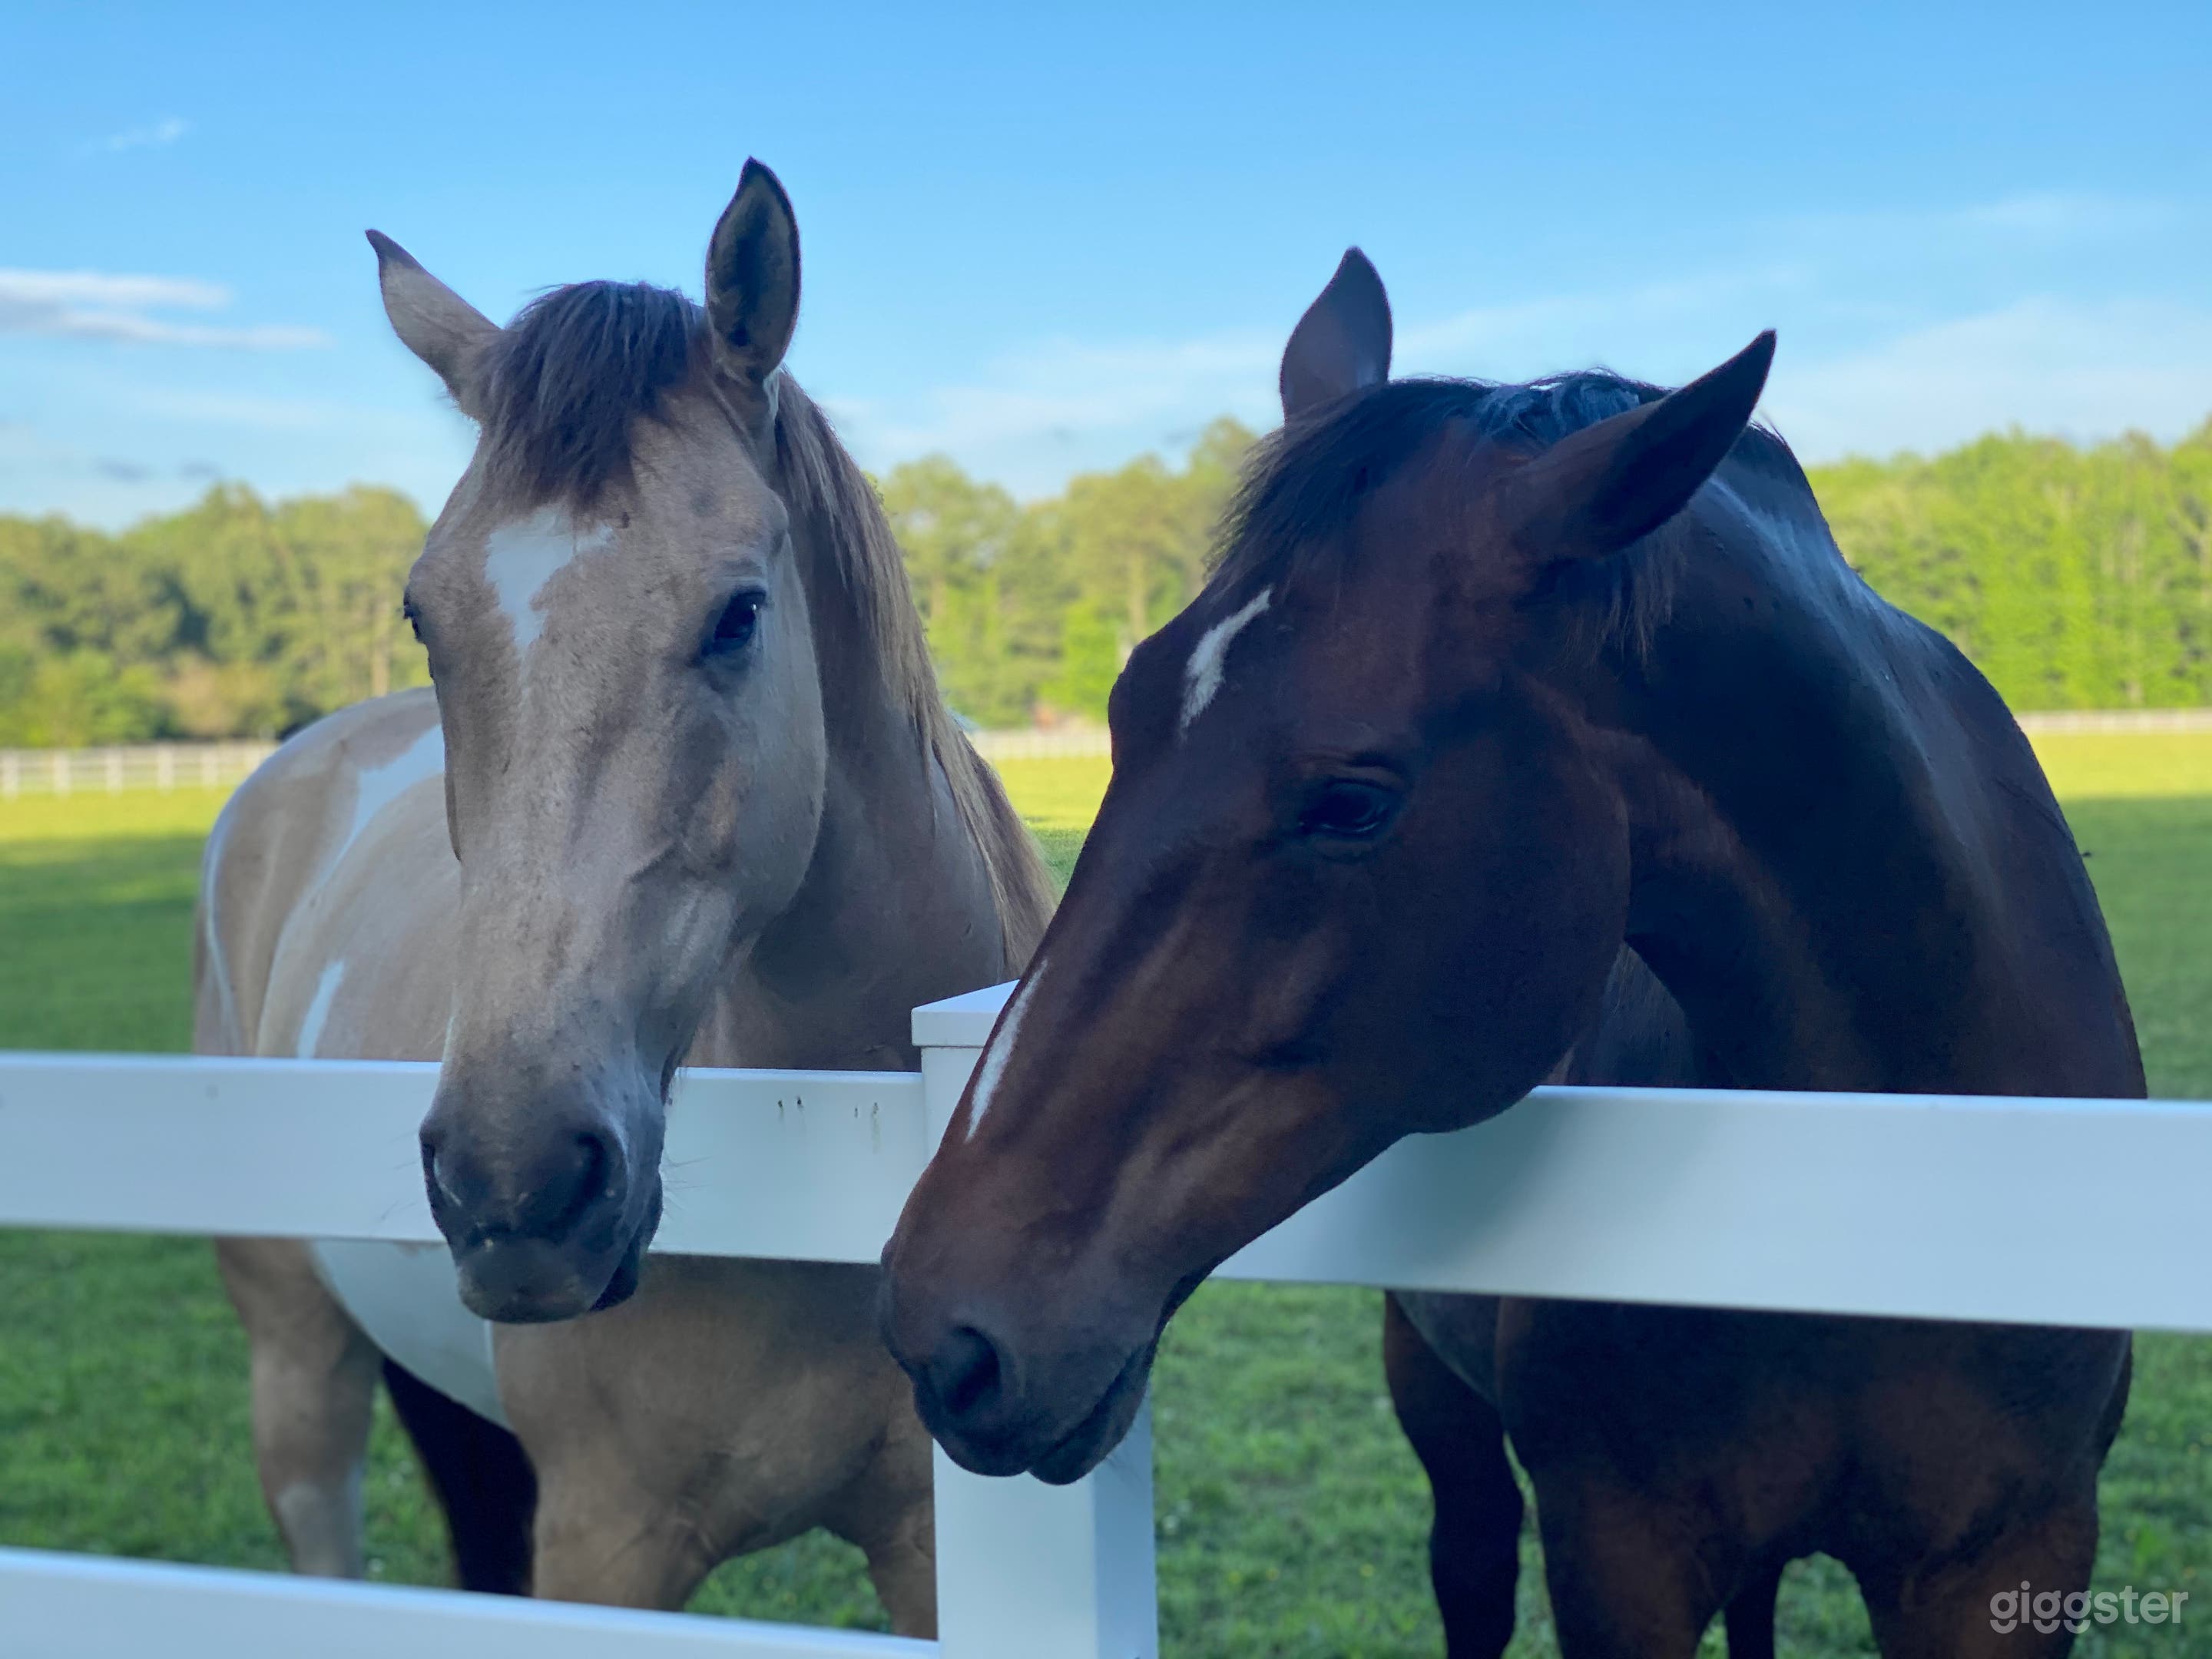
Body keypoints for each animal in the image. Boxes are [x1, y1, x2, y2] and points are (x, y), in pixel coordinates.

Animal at [195, 160, 1052, 1629]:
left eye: (739, 613)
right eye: (426, 618)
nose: (517, 1183)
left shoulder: (939, 1554)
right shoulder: (605, 1544)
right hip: (298, 1370)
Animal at [879, 249, 2142, 1657]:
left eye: (1350, 802)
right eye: (1123, 711)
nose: (944, 1330)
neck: (1900, 1174)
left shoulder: (2006, 1564)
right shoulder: (1620, 1557)